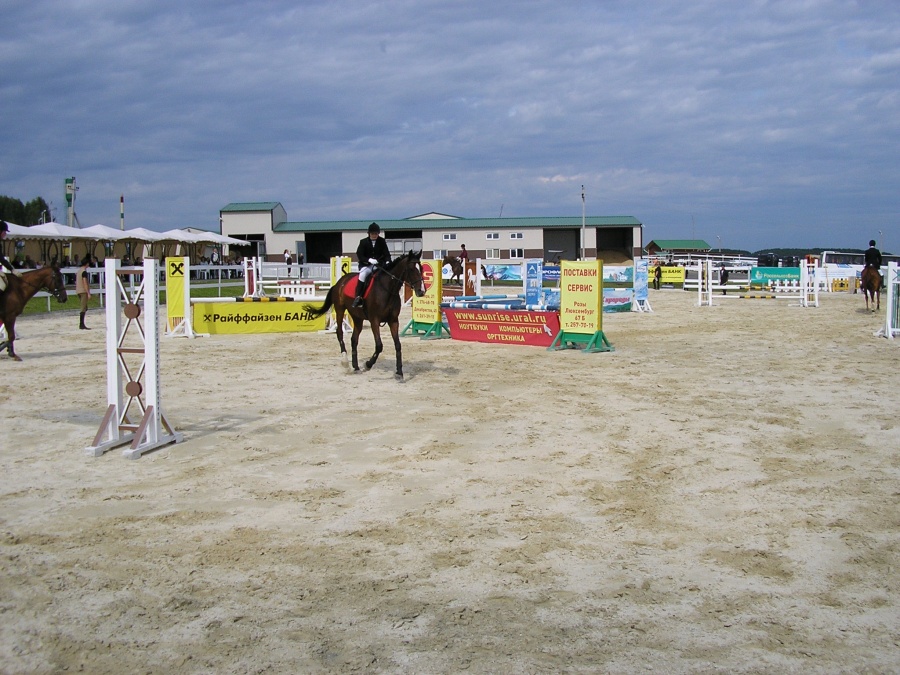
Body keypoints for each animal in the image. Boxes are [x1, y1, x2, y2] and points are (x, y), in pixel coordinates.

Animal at [302, 252, 426, 380]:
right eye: (411, 269)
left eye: (421, 269)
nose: (421, 291)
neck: (387, 290)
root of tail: (340, 282)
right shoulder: (374, 321)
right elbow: (379, 345)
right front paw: (368, 364)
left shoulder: (393, 321)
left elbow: (398, 345)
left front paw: (399, 372)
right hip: (340, 310)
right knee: (339, 333)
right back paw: (345, 361)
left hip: (357, 317)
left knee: (354, 339)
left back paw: (356, 367)